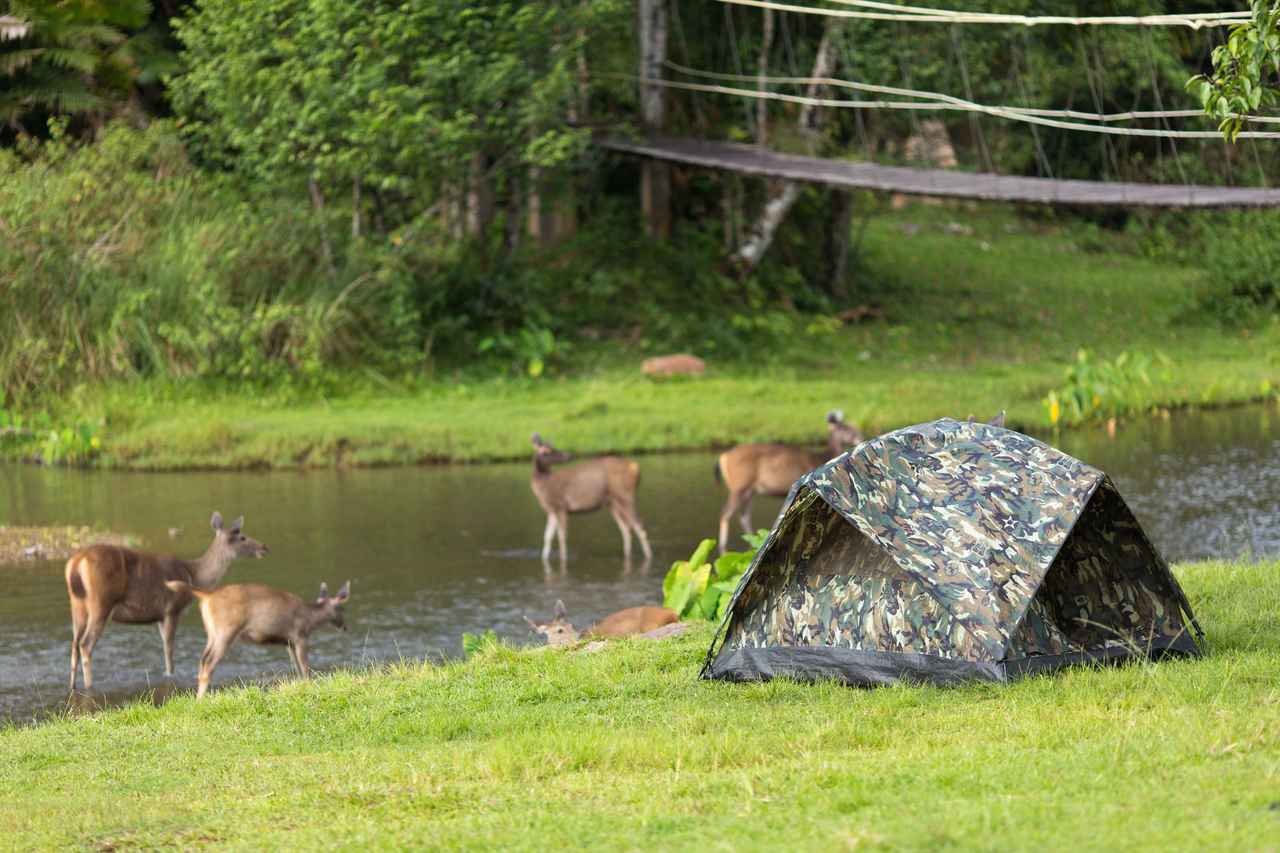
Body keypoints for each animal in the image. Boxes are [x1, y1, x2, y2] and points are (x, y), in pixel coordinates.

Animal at [64, 507, 267, 686]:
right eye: (242, 536)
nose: (264, 547)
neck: (194, 574)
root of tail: (76, 563)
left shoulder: (160, 616)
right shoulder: (172, 609)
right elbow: (169, 652)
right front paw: (170, 675)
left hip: (77, 604)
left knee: (74, 644)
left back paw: (73, 686)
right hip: (101, 602)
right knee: (85, 645)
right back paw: (89, 685)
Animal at [167, 578, 355, 696]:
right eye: (341, 608)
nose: (345, 627)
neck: (310, 618)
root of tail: (207, 596)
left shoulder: (289, 642)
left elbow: (297, 668)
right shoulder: (299, 636)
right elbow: (305, 668)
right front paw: (308, 686)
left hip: (212, 633)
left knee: (202, 660)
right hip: (225, 630)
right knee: (209, 664)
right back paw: (201, 700)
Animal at [527, 432, 650, 563]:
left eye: (552, 448)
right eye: (546, 451)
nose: (568, 455)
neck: (543, 488)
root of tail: (635, 468)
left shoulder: (561, 506)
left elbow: (561, 536)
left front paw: (563, 558)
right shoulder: (551, 510)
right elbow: (547, 536)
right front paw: (544, 557)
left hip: (625, 495)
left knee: (639, 526)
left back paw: (648, 556)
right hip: (613, 503)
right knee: (626, 529)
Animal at [716, 409, 865, 550]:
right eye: (845, 428)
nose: (859, 437)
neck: (820, 458)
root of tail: (723, 457)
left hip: (749, 490)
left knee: (743, 515)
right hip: (739, 486)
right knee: (725, 512)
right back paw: (723, 548)